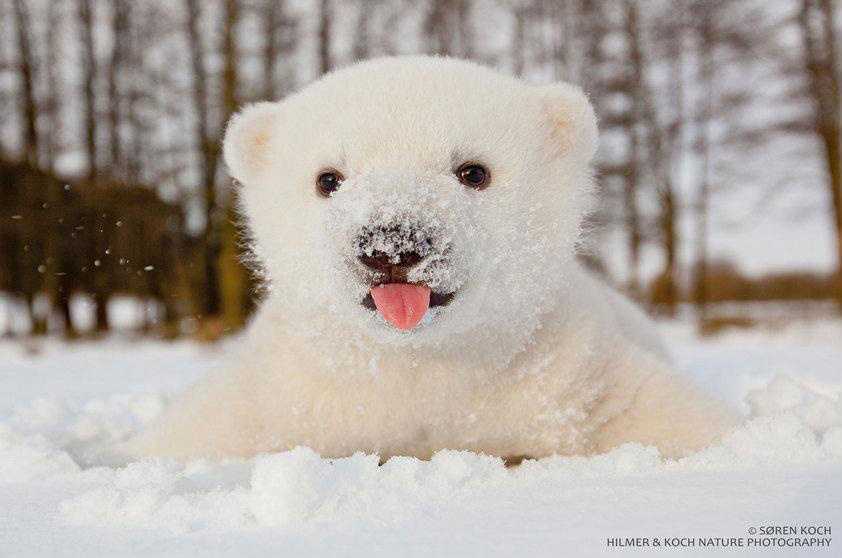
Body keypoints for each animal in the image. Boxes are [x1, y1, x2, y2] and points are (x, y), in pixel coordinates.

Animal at [128, 56, 732, 463]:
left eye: (474, 170)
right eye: (328, 178)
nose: (390, 245)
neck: (419, 365)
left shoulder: (571, 375)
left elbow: (667, 418)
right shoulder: (288, 393)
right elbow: (203, 431)